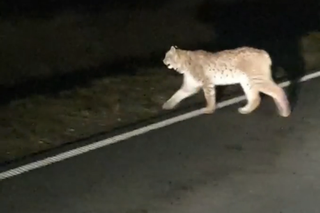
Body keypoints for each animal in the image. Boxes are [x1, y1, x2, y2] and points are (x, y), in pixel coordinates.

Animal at [162, 45, 290, 117]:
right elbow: (177, 94)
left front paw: (209, 109)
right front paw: (167, 106)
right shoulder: (190, 86)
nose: (163, 61)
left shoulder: (207, 83)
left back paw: (285, 112)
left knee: (278, 90)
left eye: (167, 56)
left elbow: (209, 97)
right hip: (248, 81)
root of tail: (263, 52)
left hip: (257, 79)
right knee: (256, 98)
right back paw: (246, 110)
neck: (183, 64)